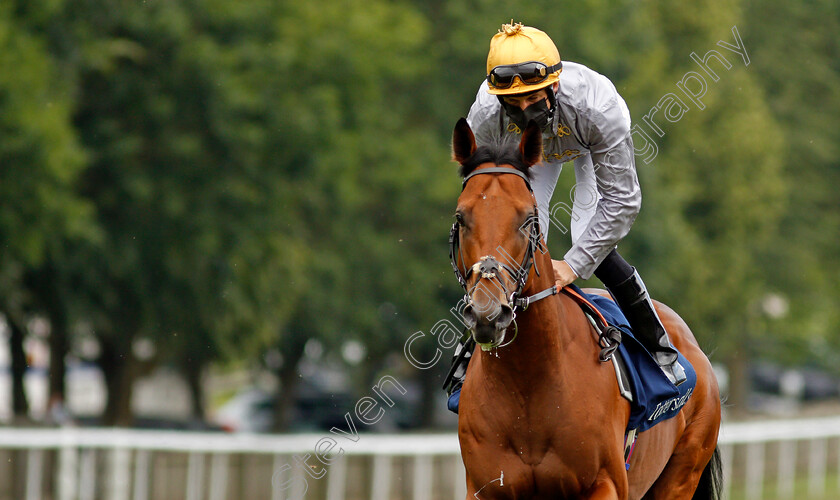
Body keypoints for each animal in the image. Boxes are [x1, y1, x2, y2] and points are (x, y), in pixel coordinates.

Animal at [450, 118, 720, 500]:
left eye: (527, 219)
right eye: (462, 217)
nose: (488, 314)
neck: (528, 386)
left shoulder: (604, 484)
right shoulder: (485, 488)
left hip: (683, 472)